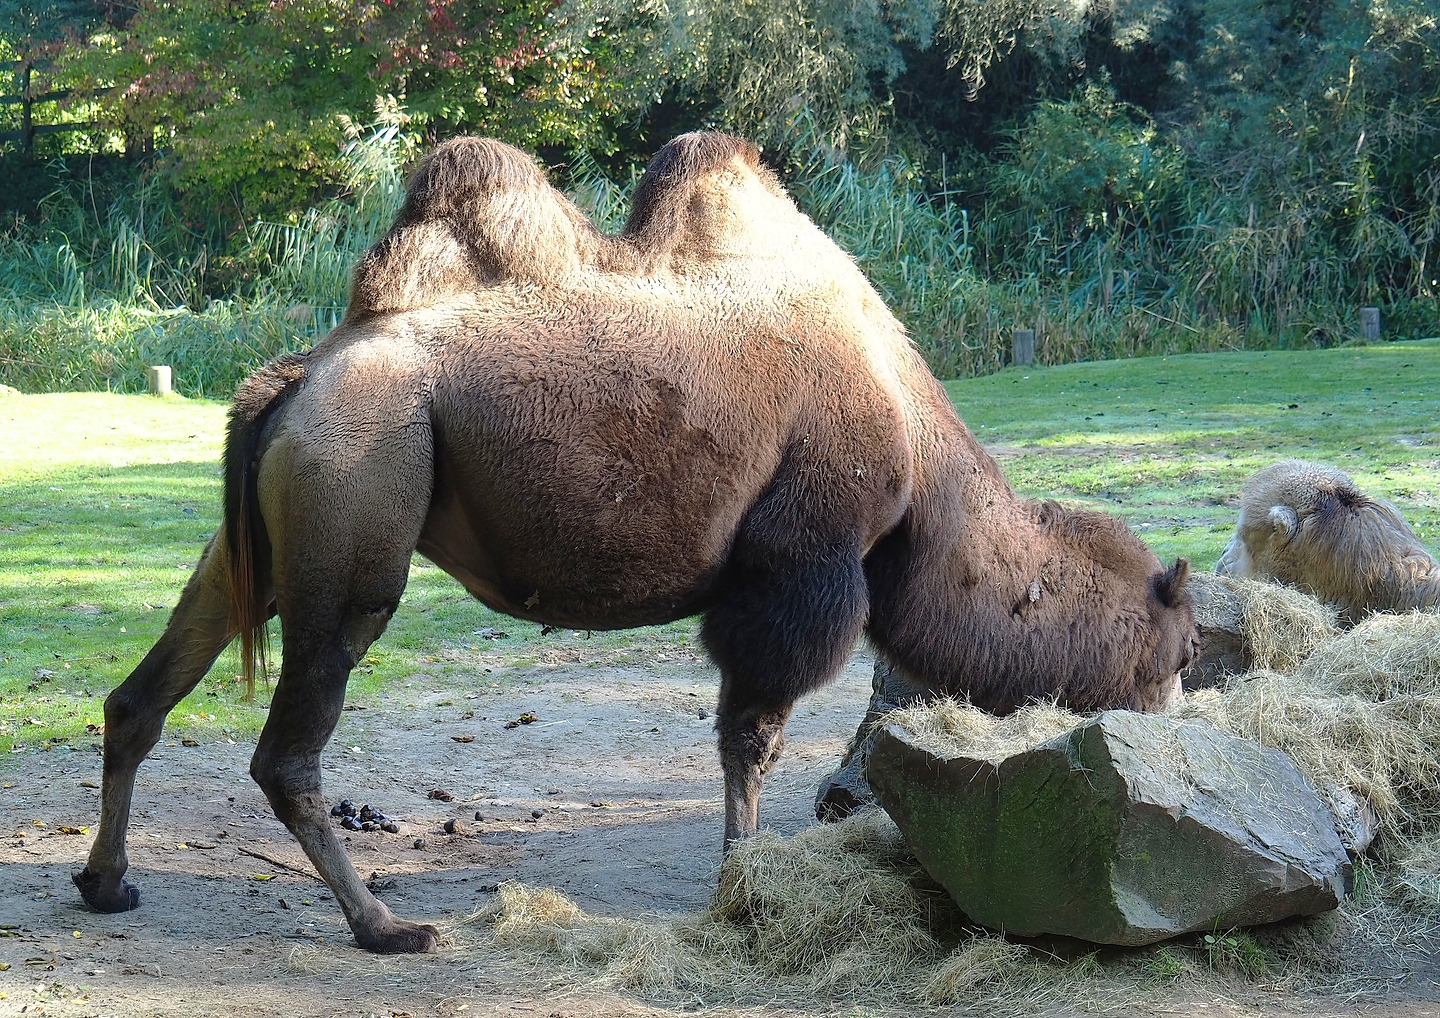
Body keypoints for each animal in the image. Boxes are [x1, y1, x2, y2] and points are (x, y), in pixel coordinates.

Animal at [74, 132, 1200, 954]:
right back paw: (386, 925)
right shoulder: (800, 565)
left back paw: (106, 881)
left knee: (145, 690)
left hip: (262, 537)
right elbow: (751, 737)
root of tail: (294, 377)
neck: (921, 460)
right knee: (289, 749)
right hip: (358, 502)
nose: (1170, 723)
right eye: (1181, 650)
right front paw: (740, 890)